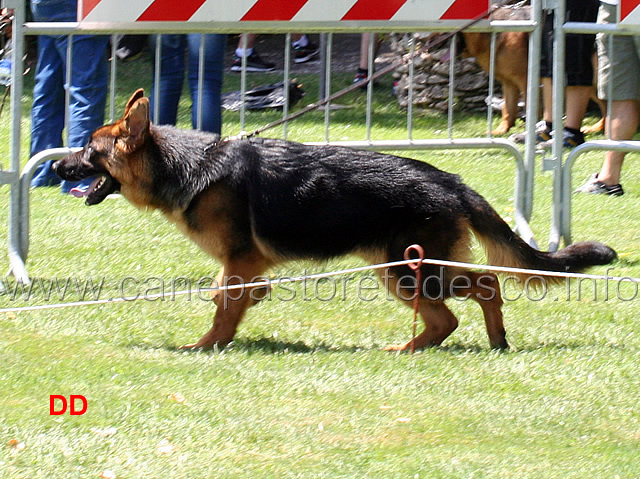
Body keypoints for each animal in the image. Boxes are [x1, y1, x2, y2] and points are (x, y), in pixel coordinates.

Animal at [53, 90, 616, 350]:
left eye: (88, 151)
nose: (56, 166)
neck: (185, 167)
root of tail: (451, 180)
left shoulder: (240, 260)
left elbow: (223, 307)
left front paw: (208, 346)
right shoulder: (242, 266)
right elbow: (229, 296)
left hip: (407, 270)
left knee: (467, 300)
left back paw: (421, 347)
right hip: (410, 268)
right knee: (474, 296)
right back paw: (477, 343)